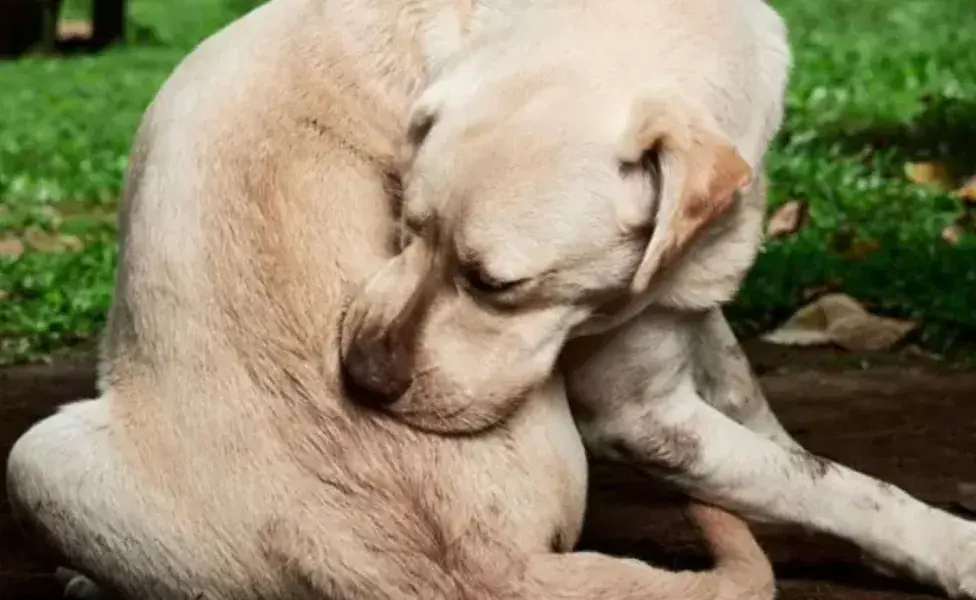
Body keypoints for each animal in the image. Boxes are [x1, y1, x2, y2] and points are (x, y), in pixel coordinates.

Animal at [338, 0, 976, 596]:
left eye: (497, 285)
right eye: (408, 227)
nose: (361, 374)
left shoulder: (682, 309)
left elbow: (760, 413)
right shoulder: (640, 416)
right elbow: (832, 484)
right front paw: (951, 548)